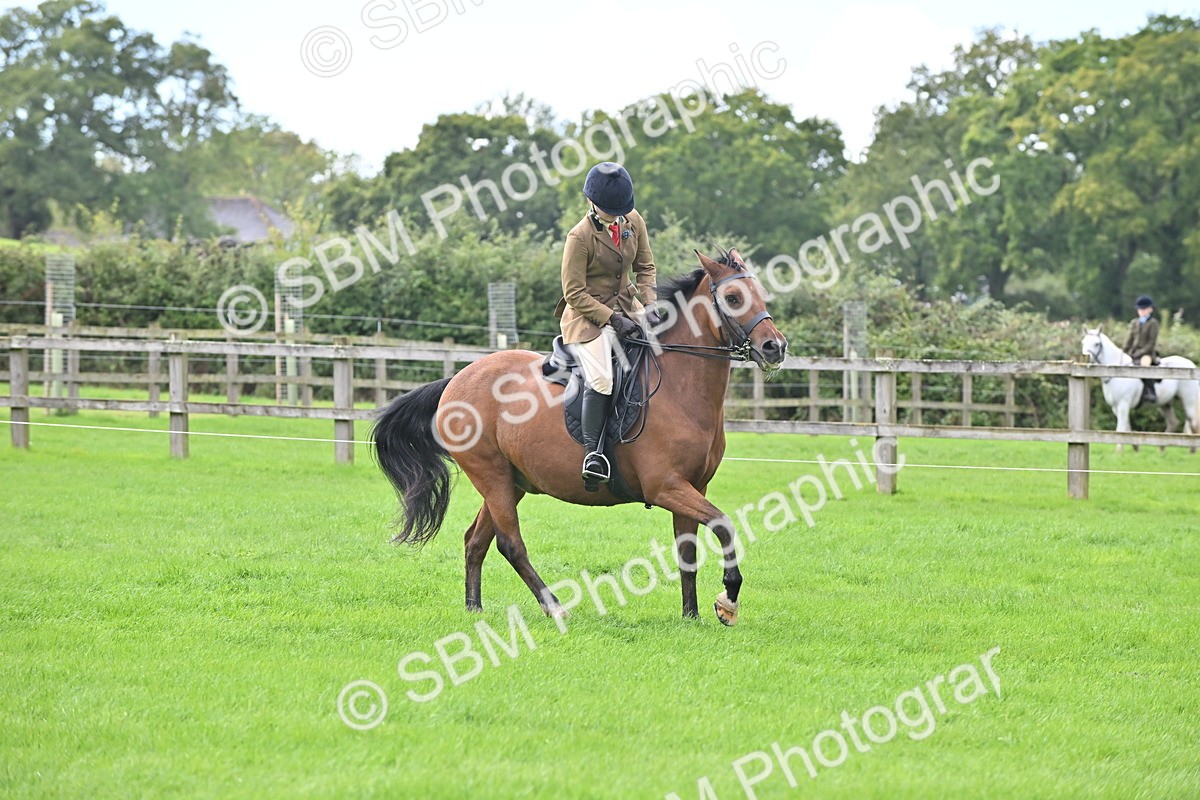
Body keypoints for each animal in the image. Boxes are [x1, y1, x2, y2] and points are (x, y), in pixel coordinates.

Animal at [371, 249, 788, 626]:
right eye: (732, 298)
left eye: (761, 295)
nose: (776, 347)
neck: (678, 386)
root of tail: (456, 381)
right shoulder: (666, 487)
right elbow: (724, 524)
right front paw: (728, 600)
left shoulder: (693, 487)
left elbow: (688, 553)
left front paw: (692, 616)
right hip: (491, 475)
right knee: (510, 543)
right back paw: (554, 607)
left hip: (509, 481)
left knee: (476, 540)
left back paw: (475, 609)